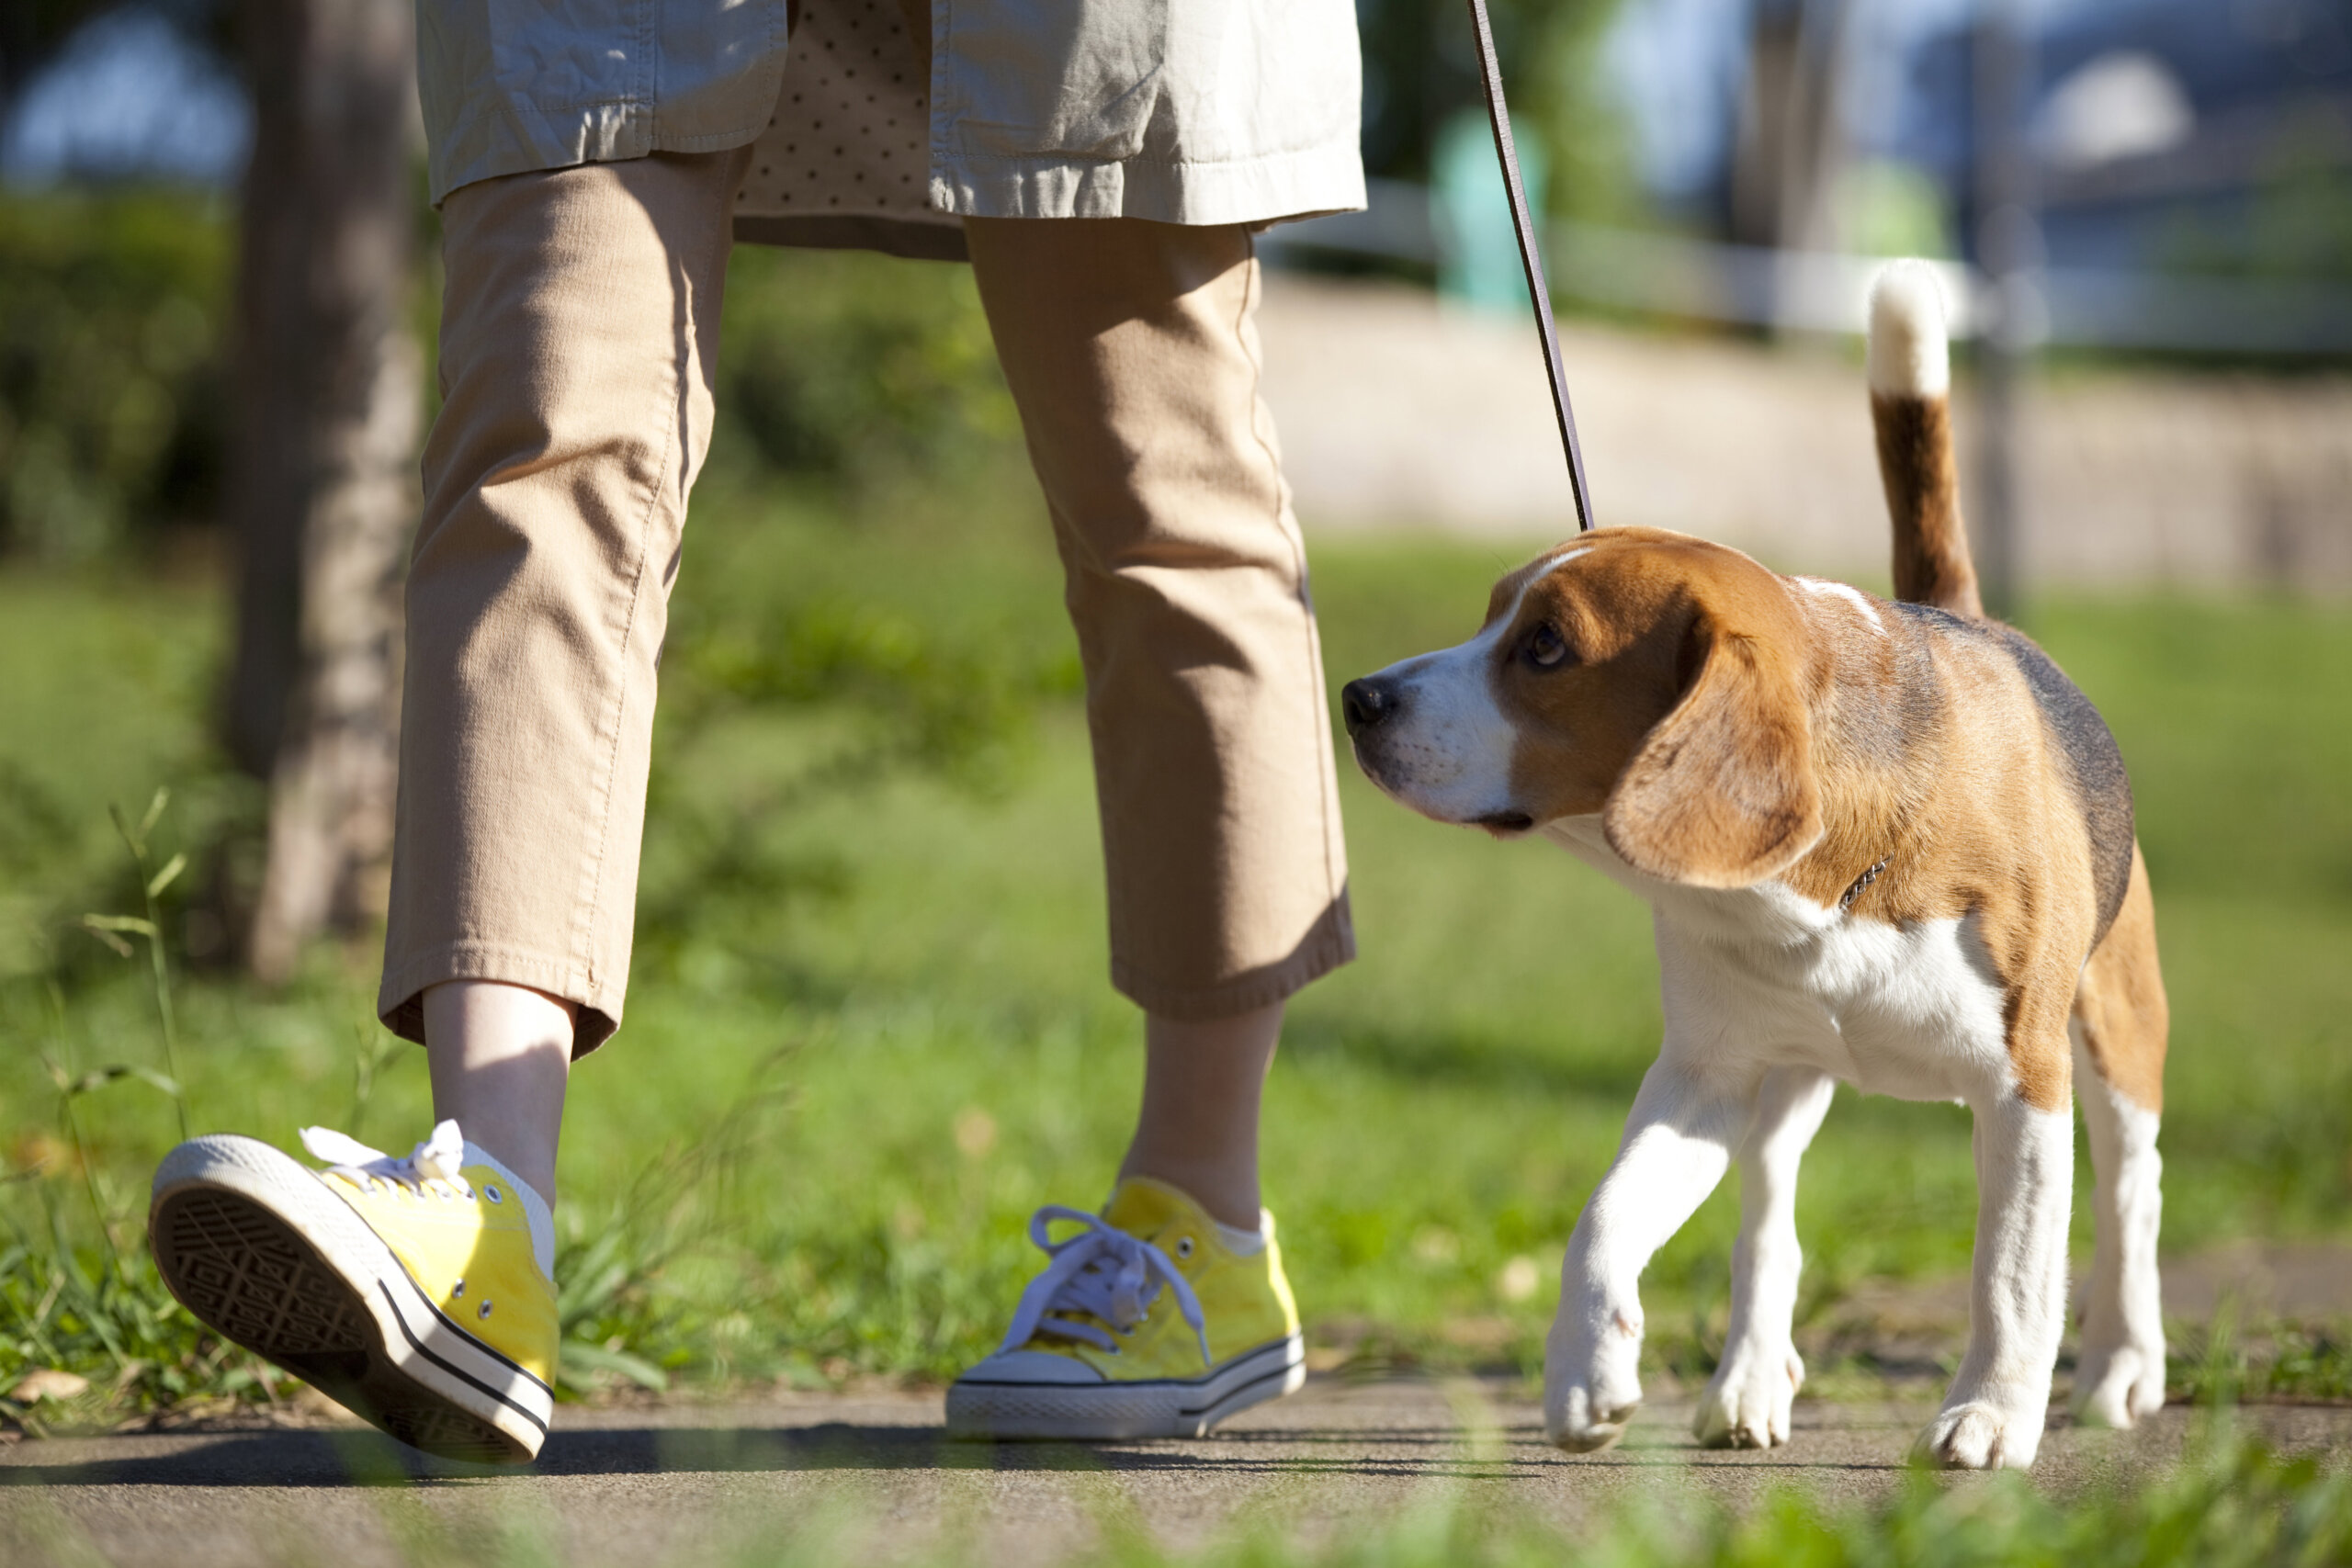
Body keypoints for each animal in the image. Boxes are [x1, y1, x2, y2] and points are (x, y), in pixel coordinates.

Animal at [1345, 261, 2164, 1476]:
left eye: (1544, 646)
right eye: (1492, 614)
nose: (1357, 700)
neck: (1824, 890)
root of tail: (1972, 620)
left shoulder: (2025, 1082)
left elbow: (2013, 1271)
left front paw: (1989, 1415)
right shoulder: (1705, 1074)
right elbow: (1602, 1222)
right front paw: (1585, 1376)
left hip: (2115, 1033)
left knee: (2129, 1196)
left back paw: (2119, 1367)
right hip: (1784, 1085)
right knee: (1766, 1224)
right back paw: (1745, 1383)